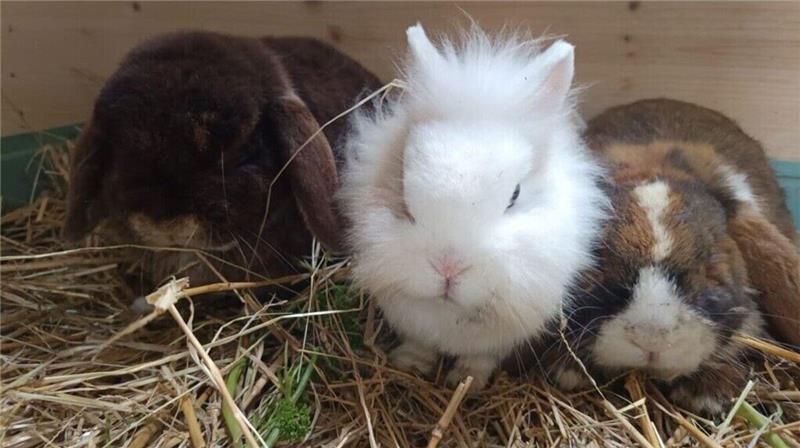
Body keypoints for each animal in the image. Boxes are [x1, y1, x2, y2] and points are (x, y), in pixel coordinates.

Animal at [338, 24, 609, 389]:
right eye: (403, 186)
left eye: (515, 195)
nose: (448, 268)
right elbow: (419, 344)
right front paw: (410, 364)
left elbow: (481, 358)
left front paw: (465, 381)